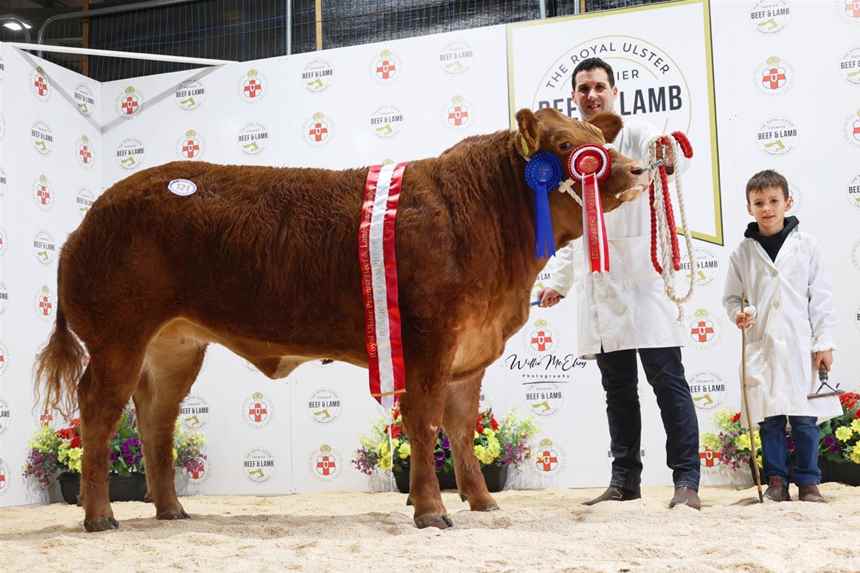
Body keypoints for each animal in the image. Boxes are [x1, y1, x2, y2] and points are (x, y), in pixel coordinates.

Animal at [38, 105, 644, 528]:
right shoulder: (427, 339)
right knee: (99, 412)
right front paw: (431, 510)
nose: (639, 169)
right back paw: (100, 516)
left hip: (175, 346)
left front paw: (482, 501)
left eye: (600, 142)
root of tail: (85, 222)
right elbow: (425, 423)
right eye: (565, 145)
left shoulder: (470, 353)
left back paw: (171, 510)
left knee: (156, 417)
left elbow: (461, 428)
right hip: (118, 336)